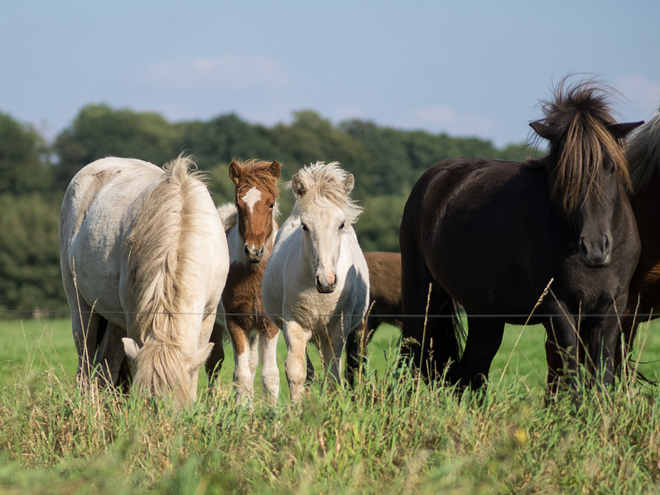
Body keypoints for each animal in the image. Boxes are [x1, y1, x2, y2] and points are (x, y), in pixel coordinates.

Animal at [59, 157, 229, 404]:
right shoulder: (134, 316)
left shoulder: (208, 315)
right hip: (81, 305)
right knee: (86, 358)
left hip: (115, 319)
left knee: (106, 366)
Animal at [205, 159, 280, 404]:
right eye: (240, 206)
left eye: (270, 204)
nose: (254, 251)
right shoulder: (234, 322)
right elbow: (242, 376)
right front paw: (242, 411)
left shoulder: (269, 324)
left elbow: (269, 375)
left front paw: (272, 413)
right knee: (214, 363)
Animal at [260, 163, 368, 404]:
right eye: (305, 226)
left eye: (341, 224)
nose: (326, 281)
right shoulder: (294, 324)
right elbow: (296, 371)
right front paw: (299, 409)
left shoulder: (337, 327)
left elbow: (333, 373)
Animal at [400, 80, 640, 392]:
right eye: (564, 174)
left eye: (610, 167)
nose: (595, 248)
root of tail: (432, 179)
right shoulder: (558, 307)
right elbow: (571, 372)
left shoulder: (612, 307)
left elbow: (603, 375)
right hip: (422, 297)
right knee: (410, 356)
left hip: (484, 313)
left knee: (471, 371)